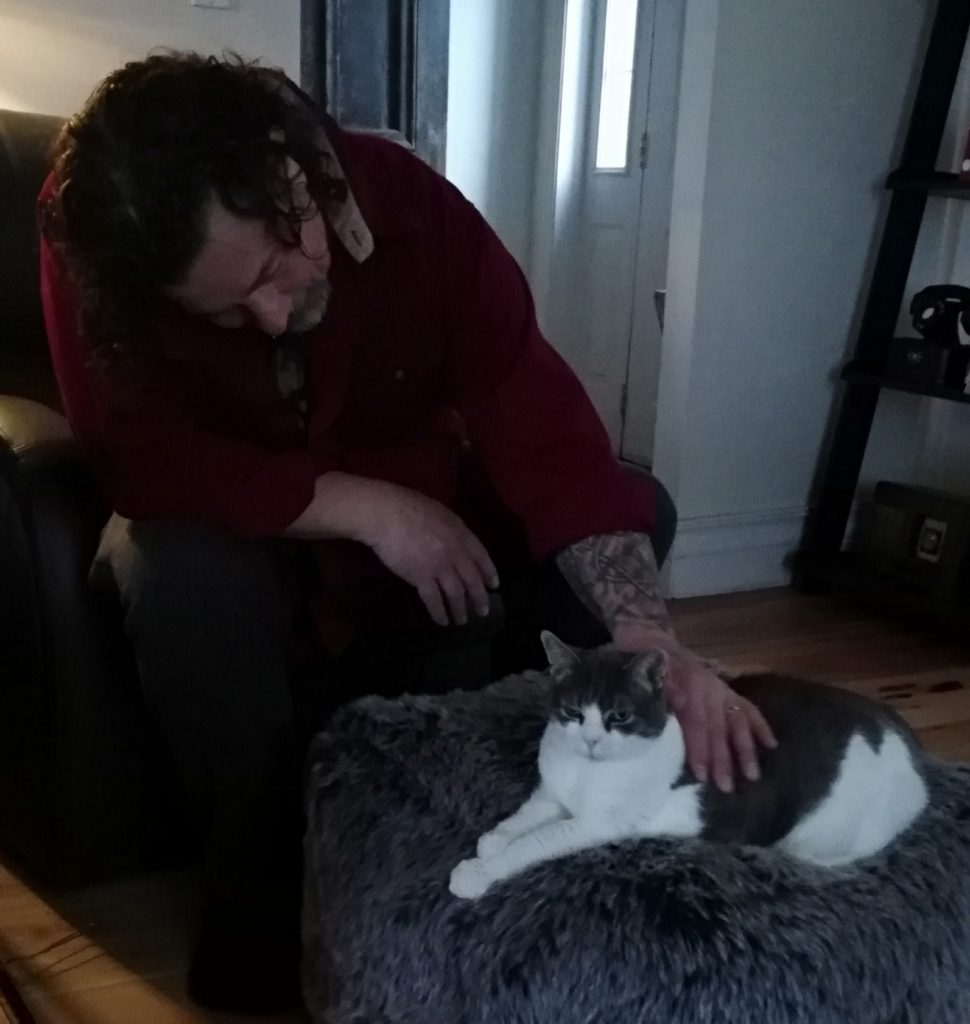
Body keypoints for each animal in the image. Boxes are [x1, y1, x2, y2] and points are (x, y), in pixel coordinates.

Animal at [450, 626, 930, 901]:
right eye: (572, 713)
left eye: (619, 716)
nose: (590, 740)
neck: (586, 772)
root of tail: (910, 747)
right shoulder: (552, 794)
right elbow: (523, 818)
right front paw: (493, 839)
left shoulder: (597, 823)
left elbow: (536, 842)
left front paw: (479, 872)